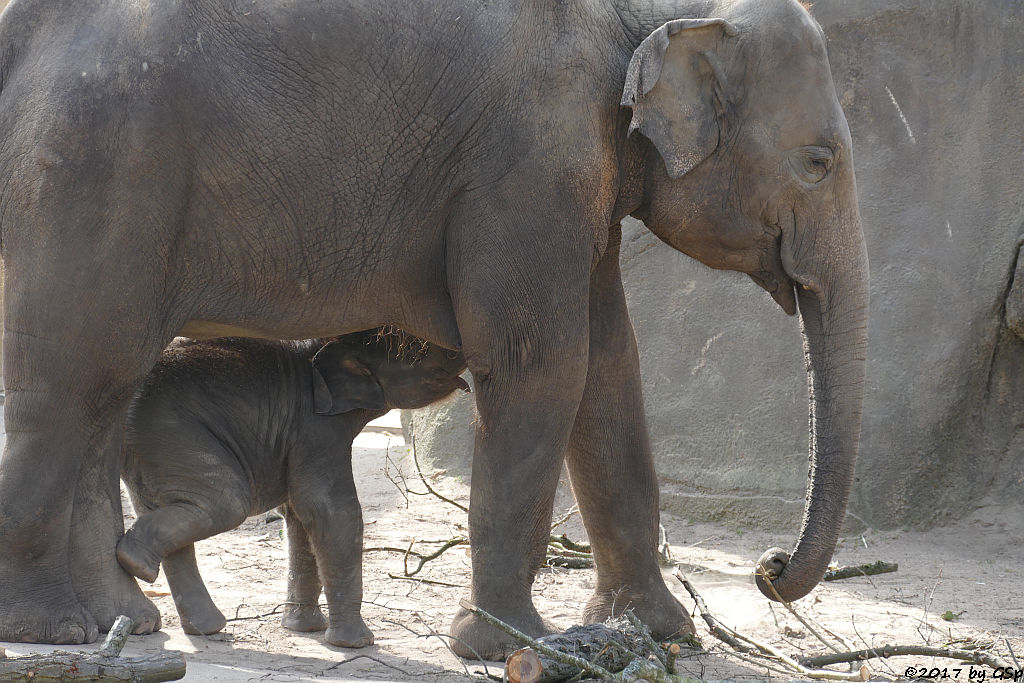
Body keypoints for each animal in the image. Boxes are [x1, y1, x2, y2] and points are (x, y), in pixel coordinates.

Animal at [118, 333, 468, 651]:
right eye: (417, 348)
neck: (323, 347)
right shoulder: (316, 430)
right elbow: (329, 510)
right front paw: (356, 644)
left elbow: (299, 515)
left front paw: (305, 629)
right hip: (174, 434)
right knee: (227, 503)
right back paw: (136, 563)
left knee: (160, 507)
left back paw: (203, 623)